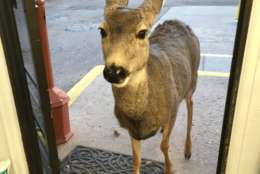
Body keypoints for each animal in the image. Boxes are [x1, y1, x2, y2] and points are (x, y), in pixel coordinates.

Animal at [98, 0, 200, 173]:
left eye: (142, 33)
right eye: (102, 30)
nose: (114, 71)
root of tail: (178, 22)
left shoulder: (172, 109)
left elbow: (164, 145)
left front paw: (169, 168)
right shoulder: (131, 130)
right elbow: (136, 159)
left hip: (192, 80)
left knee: (191, 104)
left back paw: (188, 150)